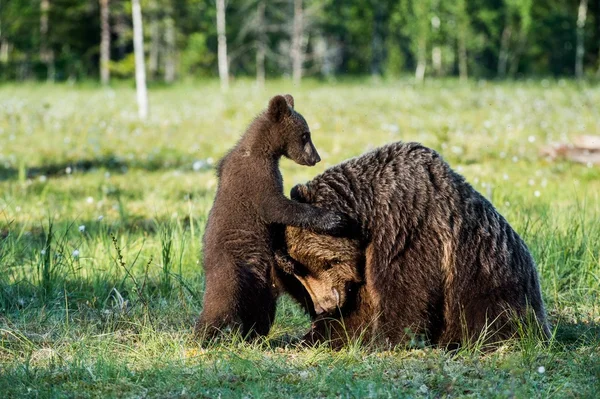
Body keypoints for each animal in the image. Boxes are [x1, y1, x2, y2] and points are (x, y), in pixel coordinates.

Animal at [278, 142, 552, 348]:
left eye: (303, 265)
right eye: (294, 272)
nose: (323, 306)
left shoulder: (406, 230)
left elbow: (405, 291)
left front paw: (389, 340)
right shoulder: (363, 264)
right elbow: (359, 309)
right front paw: (316, 335)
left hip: (491, 283)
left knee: (490, 317)